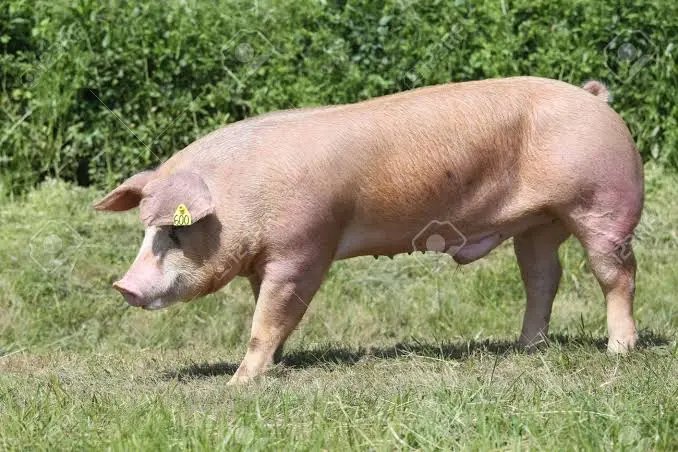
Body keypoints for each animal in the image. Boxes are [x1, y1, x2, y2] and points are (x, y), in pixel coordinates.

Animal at [94, 77, 643, 384]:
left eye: (173, 233)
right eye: (145, 232)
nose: (122, 286)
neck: (239, 198)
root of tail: (595, 100)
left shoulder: (304, 248)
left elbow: (269, 317)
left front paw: (238, 384)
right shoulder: (266, 261)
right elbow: (268, 313)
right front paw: (279, 364)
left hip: (602, 204)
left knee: (617, 274)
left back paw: (619, 351)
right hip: (540, 222)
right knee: (542, 277)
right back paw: (526, 348)